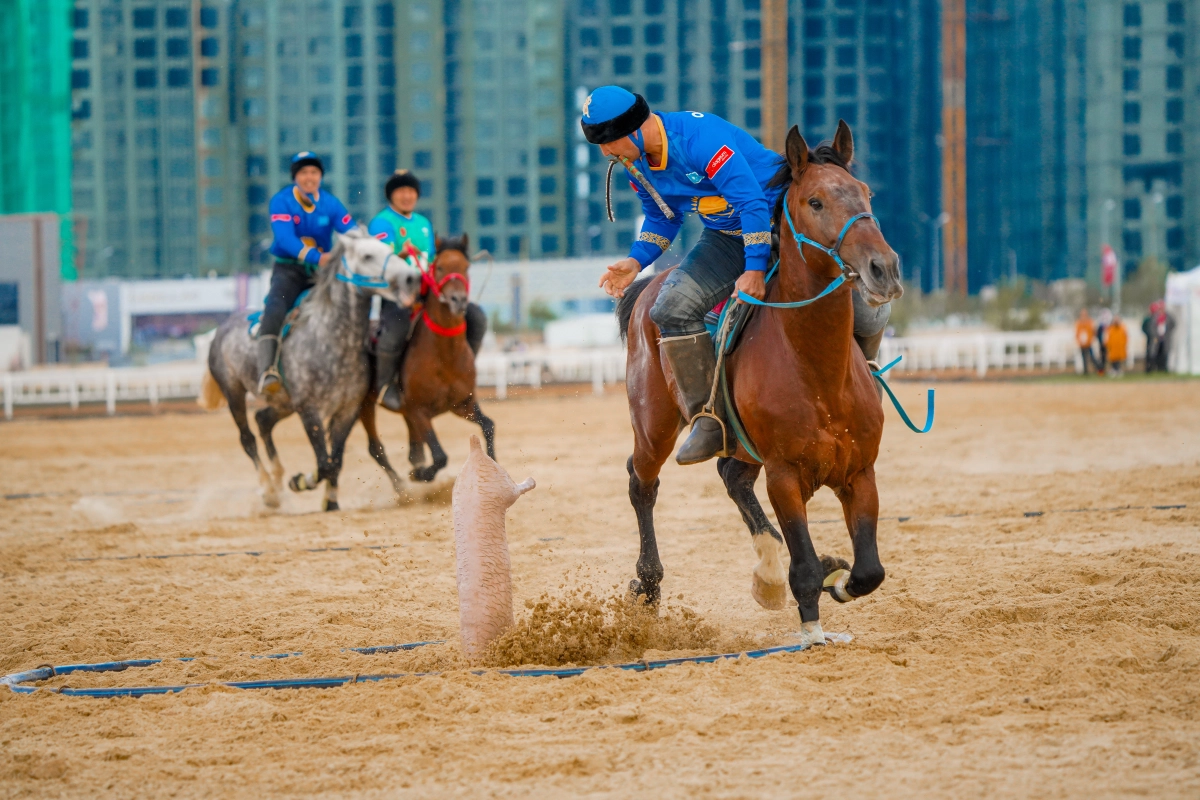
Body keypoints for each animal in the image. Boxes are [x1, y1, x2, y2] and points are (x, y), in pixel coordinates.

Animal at [206, 227, 427, 510]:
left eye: (389, 249)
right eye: (367, 255)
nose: (412, 278)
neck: (331, 340)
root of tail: (221, 329)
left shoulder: (347, 410)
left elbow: (336, 461)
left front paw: (330, 501)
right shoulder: (309, 410)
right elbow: (324, 463)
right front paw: (299, 481)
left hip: (284, 402)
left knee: (263, 420)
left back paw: (277, 477)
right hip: (234, 392)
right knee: (248, 439)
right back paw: (269, 490)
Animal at [357, 232, 494, 494]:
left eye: (466, 266)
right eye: (439, 267)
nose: (458, 300)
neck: (445, 356)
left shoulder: (462, 404)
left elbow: (488, 426)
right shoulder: (418, 411)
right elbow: (440, 456)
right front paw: (420, 475)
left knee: (412, 449)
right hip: (364, 406)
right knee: (375, 448)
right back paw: (401, 487)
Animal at [619, 126, 902, 652]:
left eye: (867, 194)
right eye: (814, 201)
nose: (884, 268)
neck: (819, 374)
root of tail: (649, 288)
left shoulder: (860, 473)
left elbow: (869, 571)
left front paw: (835, 577)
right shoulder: (784, 477)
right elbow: (804, 567)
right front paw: (812, 628)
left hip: (742, 445)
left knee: (731, 474)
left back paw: (769, 572)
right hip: (654, 426)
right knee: (642, 483)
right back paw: (648, 584)